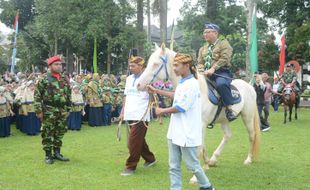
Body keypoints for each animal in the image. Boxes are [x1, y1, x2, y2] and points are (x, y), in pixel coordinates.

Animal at [137, 44, 260, 181]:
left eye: (155, 64)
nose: (139, 84)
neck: (197, 90)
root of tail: (250, 86)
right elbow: (202, 145)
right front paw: (206, 164)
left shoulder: (201, 124)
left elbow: (199, 148)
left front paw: (196, 176)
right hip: (224, 120)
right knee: (228, 135)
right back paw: (213, 159)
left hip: (247, 117)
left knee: (252, 136)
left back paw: (248, 159)